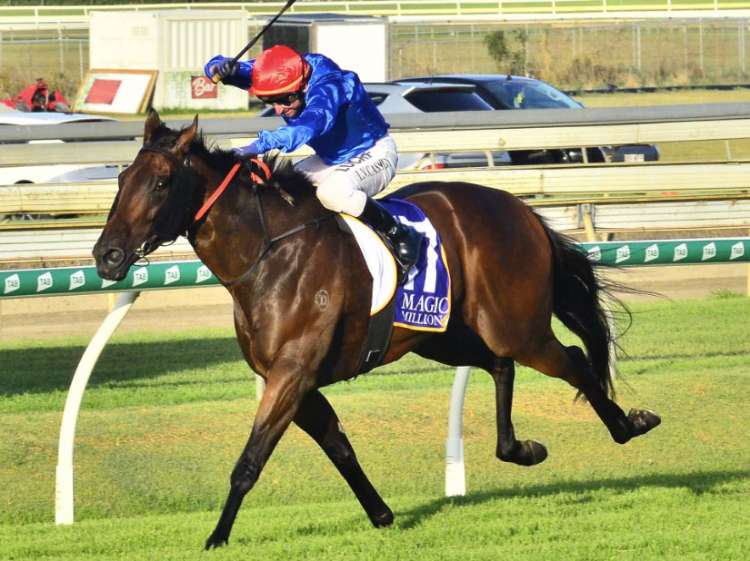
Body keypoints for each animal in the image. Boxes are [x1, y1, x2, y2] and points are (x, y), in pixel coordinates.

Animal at [93, 111, 660, 549]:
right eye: (121, 181)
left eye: (161, 183)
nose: (107, 256)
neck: (269, 253)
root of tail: (522, 210)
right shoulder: (297, 381)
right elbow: (339, 447)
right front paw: (383, 514)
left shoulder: (291, 373)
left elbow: (250, 460)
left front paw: (216, 537)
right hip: (447, 336)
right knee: (502, 364)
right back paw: (519, 449)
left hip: (516, 326)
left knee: (573, 360)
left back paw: (628, 424)